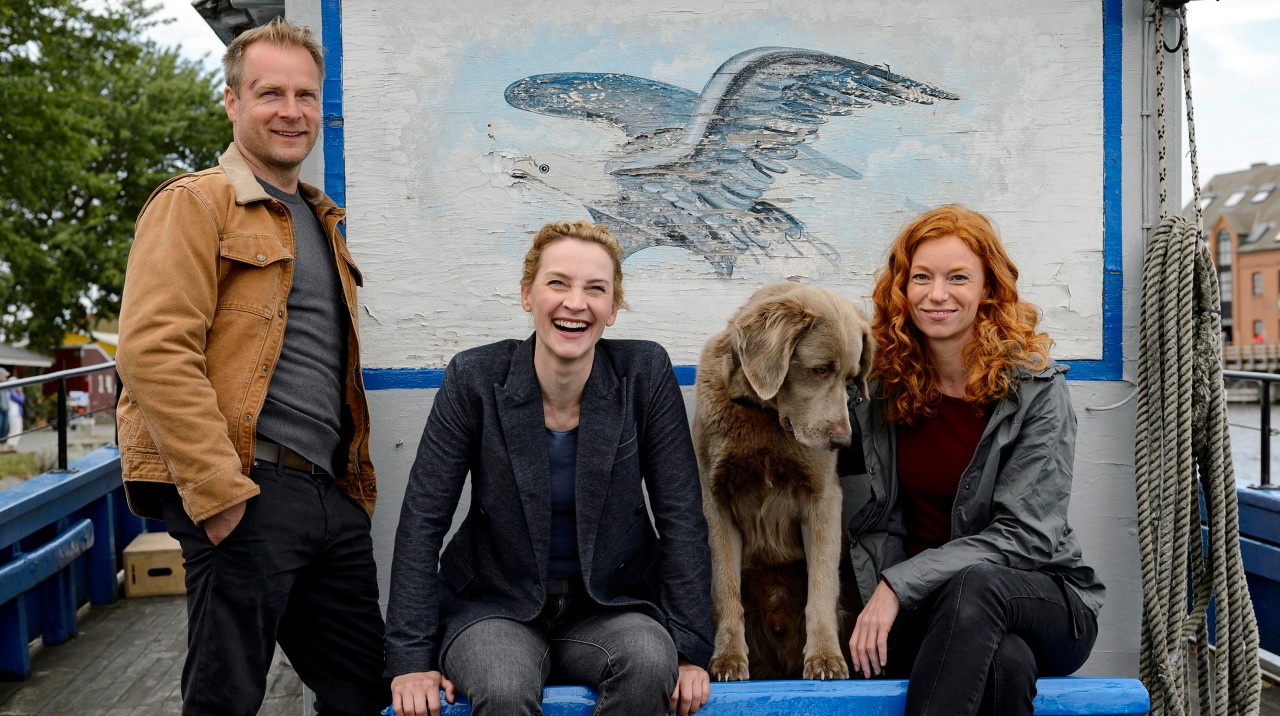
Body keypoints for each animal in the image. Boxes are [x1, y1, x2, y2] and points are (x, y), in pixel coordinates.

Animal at [696, 281, 875, 681]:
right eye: (820, 370)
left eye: (851, 380)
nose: (843, 442)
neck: (765, 417)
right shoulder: (716, 499)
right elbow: (725, 587)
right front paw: (728, 658)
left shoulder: (823, 498)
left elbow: (821, 585)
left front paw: (824, 657)